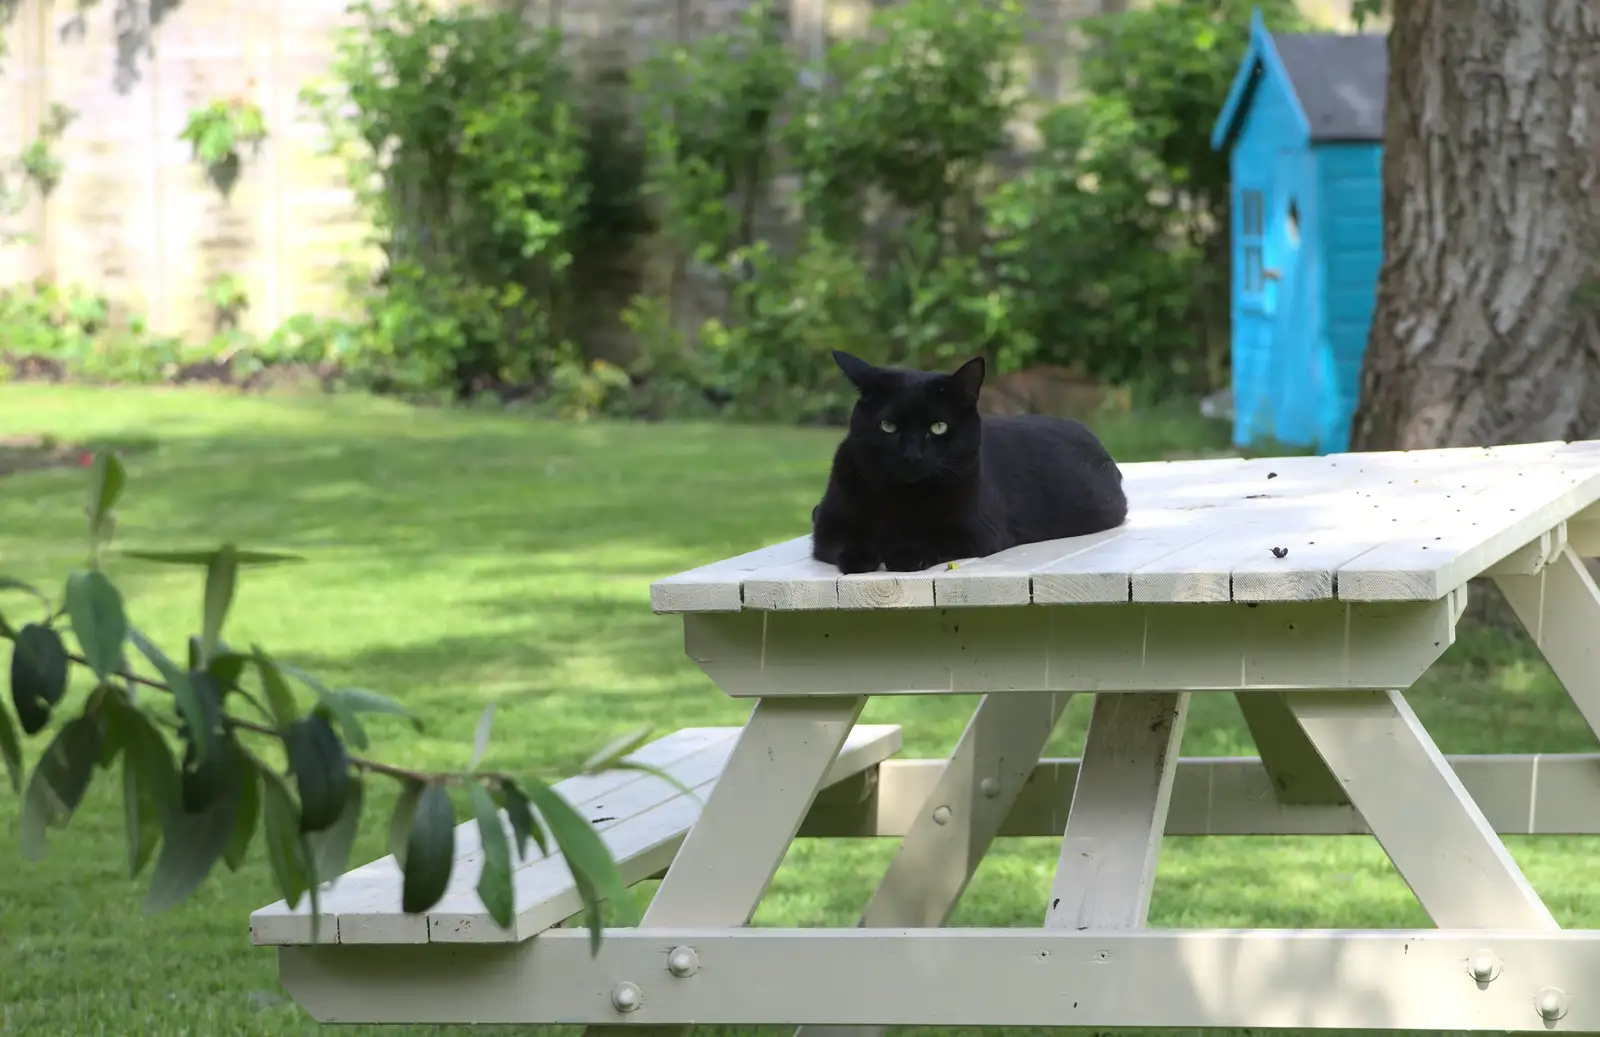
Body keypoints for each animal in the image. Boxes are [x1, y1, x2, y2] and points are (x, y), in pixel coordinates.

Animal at [812, 348, 1126, 576]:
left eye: (938, 427)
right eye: (888, 426)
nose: (912, 454)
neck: (901, 498)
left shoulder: (975, 532)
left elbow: (931, 539)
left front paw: (904, 554)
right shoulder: (828, 524)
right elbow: (844, 540)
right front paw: (861, 556)